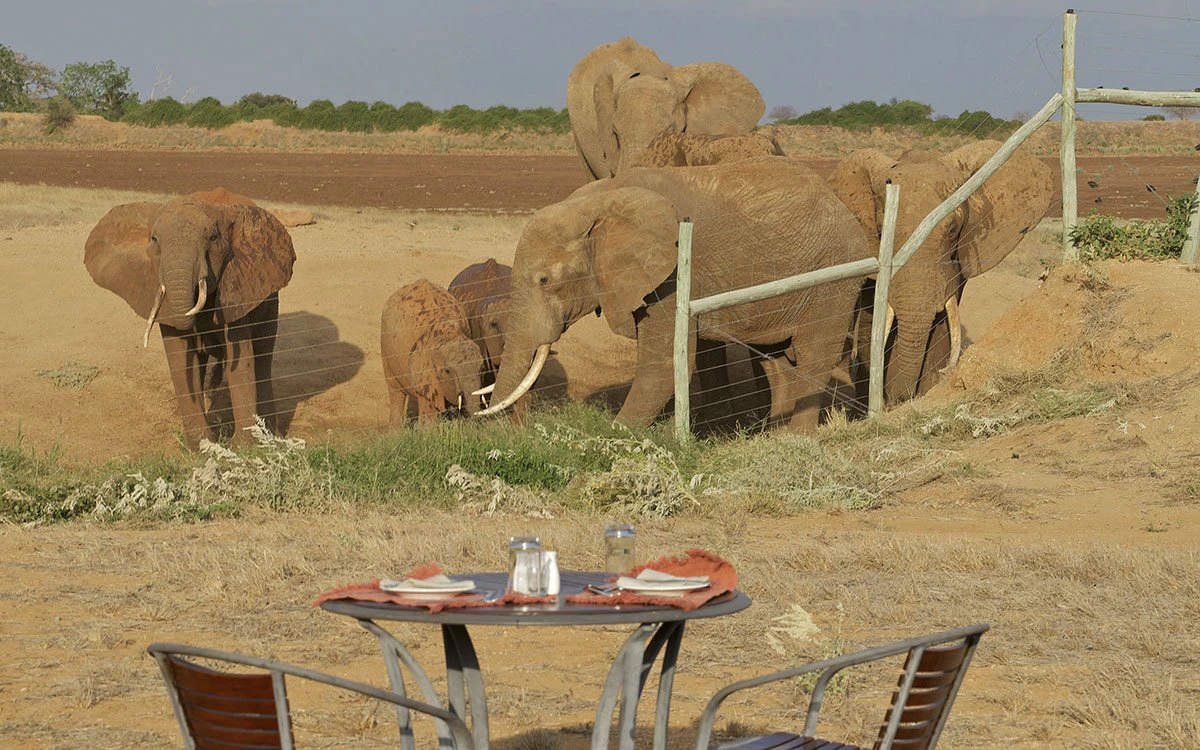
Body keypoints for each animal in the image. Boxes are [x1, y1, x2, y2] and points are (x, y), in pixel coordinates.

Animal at [84, 193, 296, 449]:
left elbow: (240, 363)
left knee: (263, 356)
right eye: (154, 239)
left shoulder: (238, 285)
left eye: (213, 238)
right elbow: (180, 359)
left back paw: (272, 436)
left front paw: (243, 448)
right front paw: (203, 447)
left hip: (270, 298)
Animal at [381, 279, 483, 426]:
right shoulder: (425, 365)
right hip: (387, 352)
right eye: (447, 371)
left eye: (481, 368)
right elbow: (429, 418)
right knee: (396, 393)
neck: (448, 334)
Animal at [478, 157, 872, 430]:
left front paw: (612, 438)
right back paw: (773, 438)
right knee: (774, 358)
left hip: (835, 274)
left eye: (544, 281)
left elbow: (662, 364)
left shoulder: (675, 273)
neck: (599, 202)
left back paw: (795, 439)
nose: (495, 431)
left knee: (812, 354)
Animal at [828, 140, 1053, 403]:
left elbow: (942, 328)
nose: (897, 398)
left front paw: (922, 394)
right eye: (882, 230)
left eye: (952, 230)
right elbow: (871, 323)